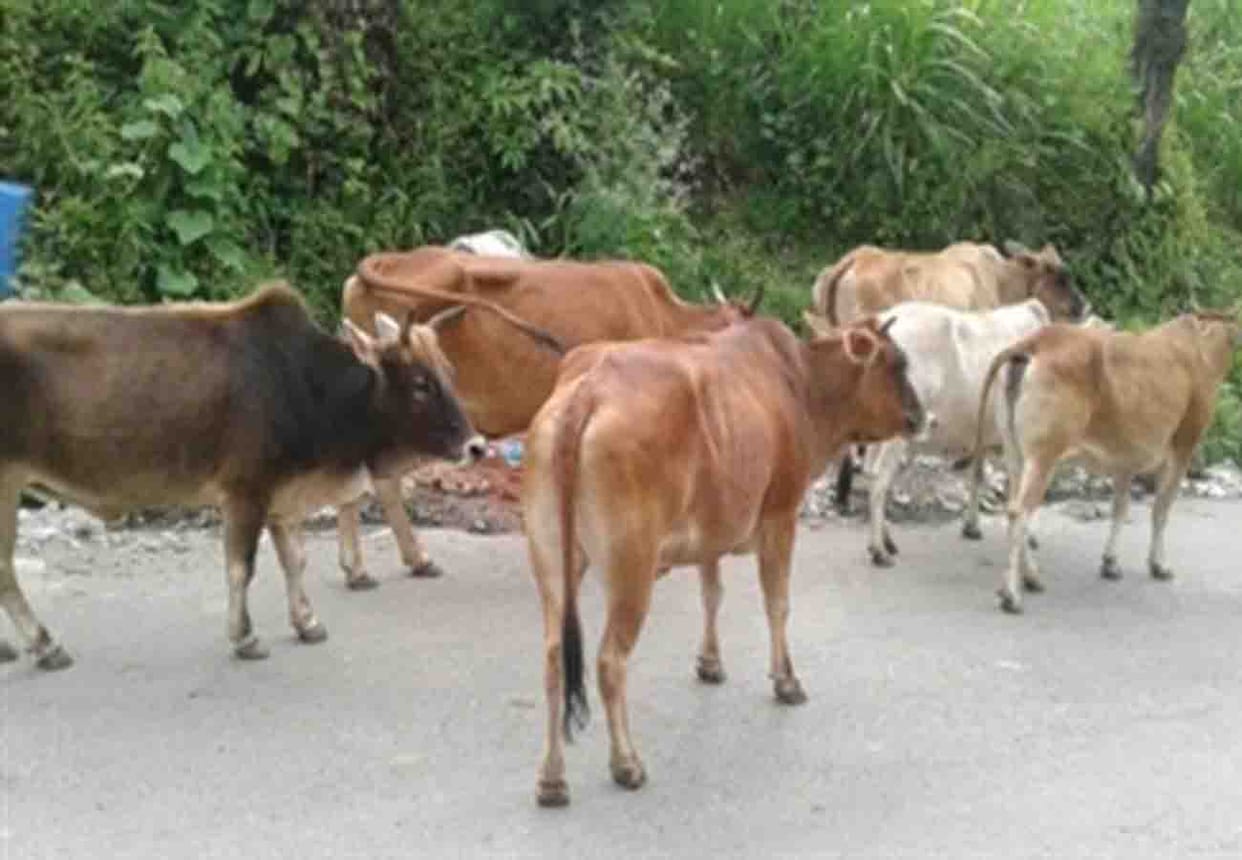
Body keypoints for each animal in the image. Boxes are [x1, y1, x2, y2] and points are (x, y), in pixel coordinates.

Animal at [0, 284, 484, 669]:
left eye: (449, 372)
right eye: (420, 383)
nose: (476, 446)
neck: (308, 385)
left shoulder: (282, 494)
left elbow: (295, 560)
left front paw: (307, 622)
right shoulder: (246, 491)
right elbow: (240, 567)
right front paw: (245, 637)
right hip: (6, 483)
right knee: (5, 568)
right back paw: (44, 645)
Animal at [522, 314, 925, 806]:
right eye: (898, 362)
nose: (920, 416)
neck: (801, 385)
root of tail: (589, 390)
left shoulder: (711, 530)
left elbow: (712, 594)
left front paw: (710, 663)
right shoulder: (780, 515)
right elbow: (778, 604)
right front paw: (786, 680)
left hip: (552, 562)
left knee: (555, 659)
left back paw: (552, 778)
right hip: (631, 568)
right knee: (609, 662)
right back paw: (626, 763)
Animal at [822, 299, 1052, 567]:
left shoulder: (982, 435)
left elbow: (977, 475)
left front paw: (972, 526)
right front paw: (1028, 538)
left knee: (871, 472)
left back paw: (884, 541)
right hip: (898, 432)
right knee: (879, 481)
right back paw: (880, 551)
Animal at [973, 310, 1241, 614]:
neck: (1204, 346)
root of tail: (1034, 343)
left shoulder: (1124, 461)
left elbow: (1120, 509)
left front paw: (1111, 563)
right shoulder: (1183, 446)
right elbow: (1161, 509)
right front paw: (1159, 565)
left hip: (1015, 453)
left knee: (1015, 509)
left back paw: (1030, 578)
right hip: (1044, 455)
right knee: (1020, 513)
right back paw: (1013, 595)